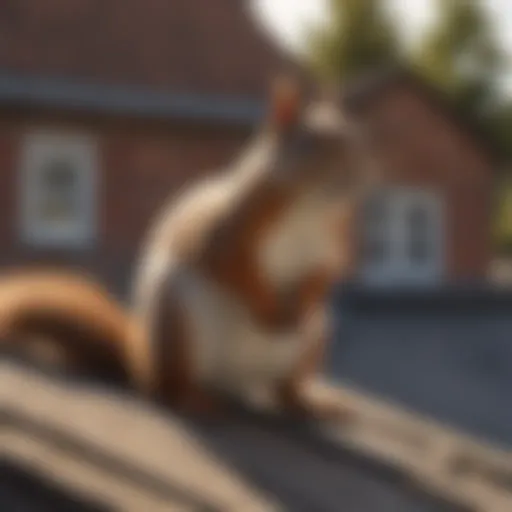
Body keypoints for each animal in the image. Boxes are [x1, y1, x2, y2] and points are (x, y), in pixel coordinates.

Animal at [1, 75, 368, 420]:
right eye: (313, 144)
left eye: (354, 141)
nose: (358, 175)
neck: (310, 209)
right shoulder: (229, 231)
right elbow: (234, 267)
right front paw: (267, 309)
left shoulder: (334, 242)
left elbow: (325, 272)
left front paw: (302, 300)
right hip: (177, 320)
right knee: (167, 387)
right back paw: (193, 399)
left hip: (314, 337)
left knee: (285, 390)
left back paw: (313, 403)